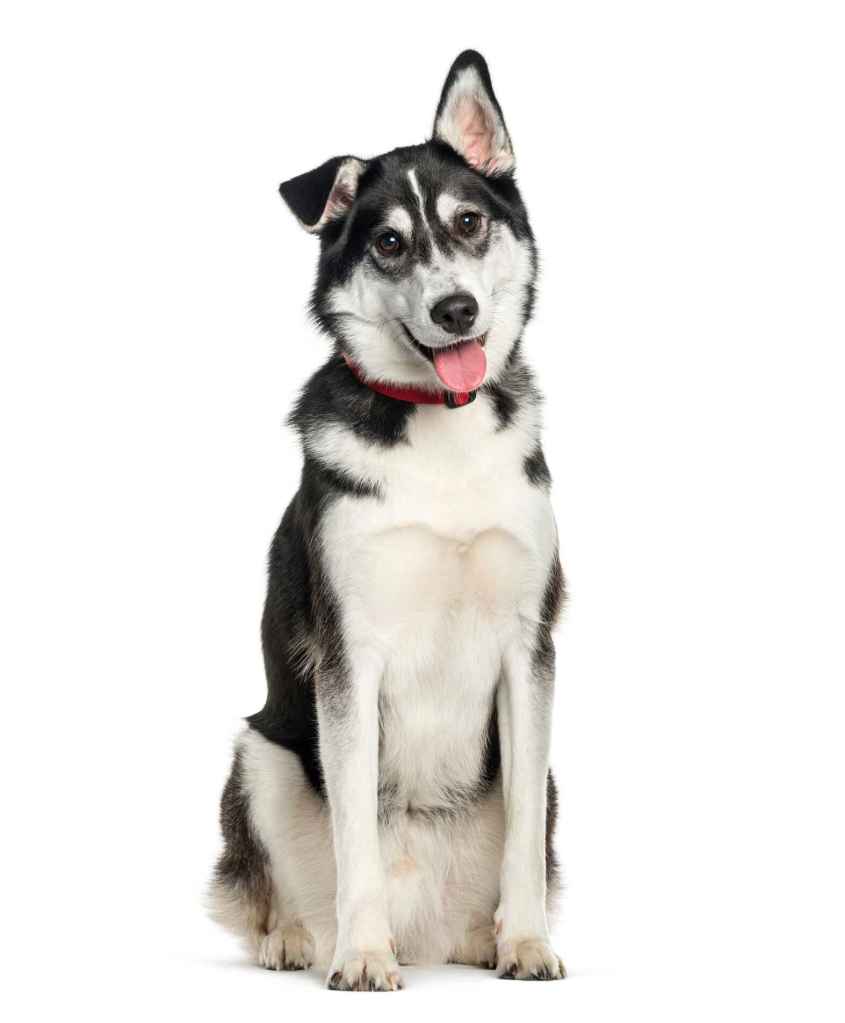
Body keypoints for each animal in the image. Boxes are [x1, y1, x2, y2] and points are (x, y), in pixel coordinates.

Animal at [208, 49, 564, 990]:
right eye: (389, 243)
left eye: (469, 222)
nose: (455, 312)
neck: (438, 426)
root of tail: (426, 927)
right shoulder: (349, 655)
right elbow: (354, 834)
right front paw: (360, 955)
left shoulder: (528, 649)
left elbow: (520, 838)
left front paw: (527, 941)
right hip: (259, 754)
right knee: (280, 886)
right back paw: (303, 938)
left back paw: (484, 934)